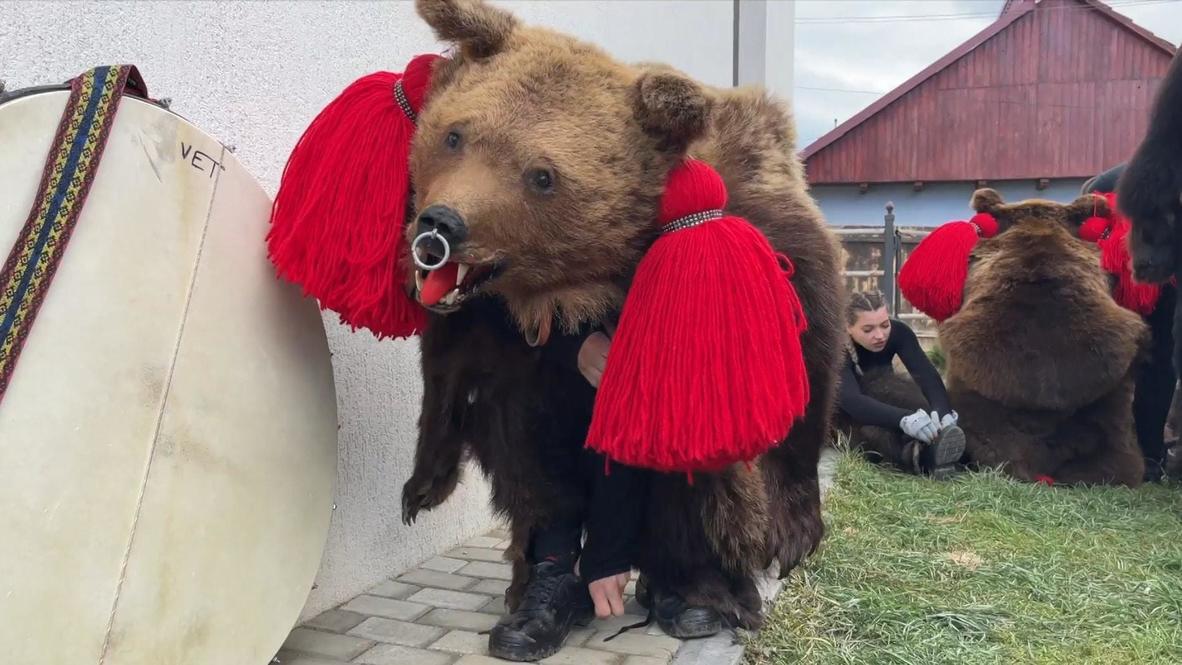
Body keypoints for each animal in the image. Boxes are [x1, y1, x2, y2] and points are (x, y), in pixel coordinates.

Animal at [396, 0, 845, 646]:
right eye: (455, 134)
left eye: (543, 175)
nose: (441, 224)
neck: (577, 290)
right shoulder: (493, 334)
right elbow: (466, 393)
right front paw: (422, 488)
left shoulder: (752, 247)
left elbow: (796, 365)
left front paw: (790, 531)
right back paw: (528, 591)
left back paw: (697, 595)